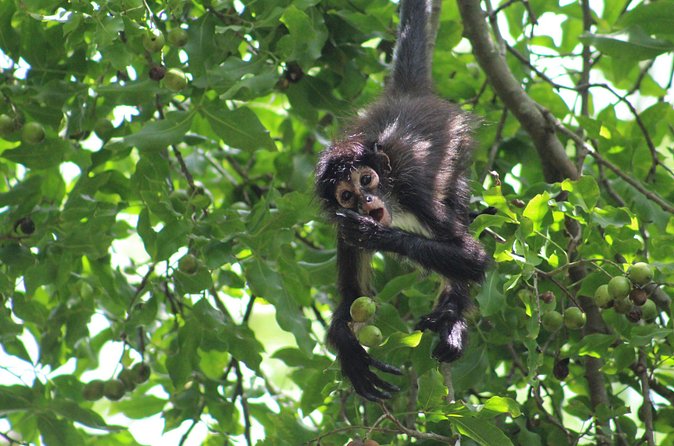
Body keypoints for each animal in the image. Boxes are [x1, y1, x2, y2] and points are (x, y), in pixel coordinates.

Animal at [315, 0, 490, 401]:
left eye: (366, 180)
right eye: (346, 195)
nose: (365, 200)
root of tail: (406, 94)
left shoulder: (413, 193)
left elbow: (474, 259)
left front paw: (376, 236)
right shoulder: (340, 224)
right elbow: (352, 297)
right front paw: (347, 347)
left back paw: (453, 318)